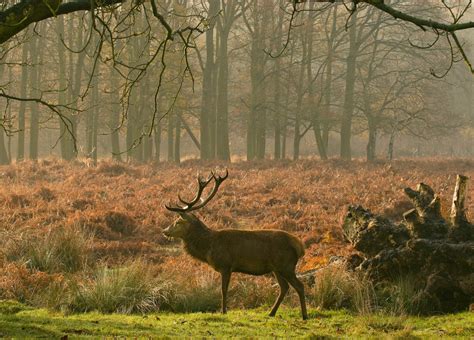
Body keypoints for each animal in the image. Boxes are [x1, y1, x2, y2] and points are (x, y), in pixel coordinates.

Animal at [163, 171, 310, 320]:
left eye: (178, 222)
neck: (208, 247)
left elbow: (223, 290)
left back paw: (304, 315)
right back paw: (271, 313)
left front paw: (223, 311)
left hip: (286, 266)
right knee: (284, 287)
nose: (164, 231)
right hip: (276, 269)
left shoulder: (226, 266)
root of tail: (299, 246)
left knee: (300, 286)